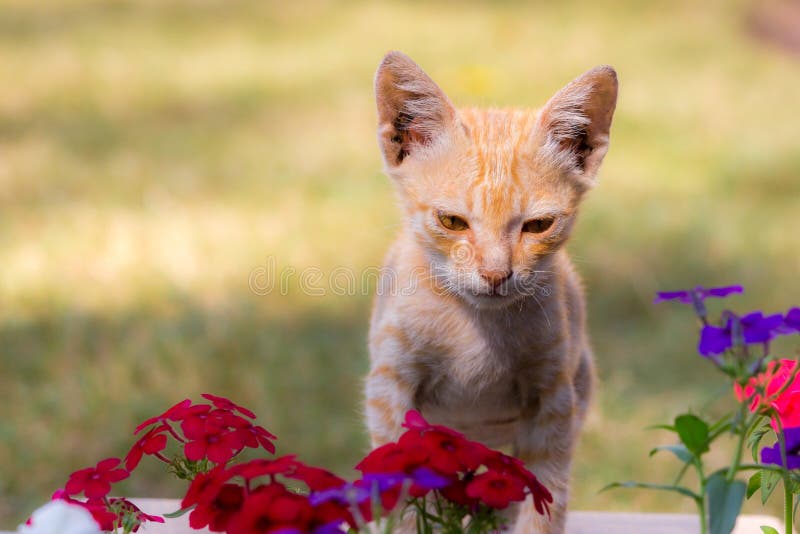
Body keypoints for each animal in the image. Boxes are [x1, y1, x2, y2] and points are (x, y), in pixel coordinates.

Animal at [364, 51, 620, 534]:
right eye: (451, 221)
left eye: (538, 225)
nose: (496, 274)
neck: (478, 330)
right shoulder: (390, 389)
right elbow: (401, 503)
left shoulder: (553, 402)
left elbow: (544, 504)